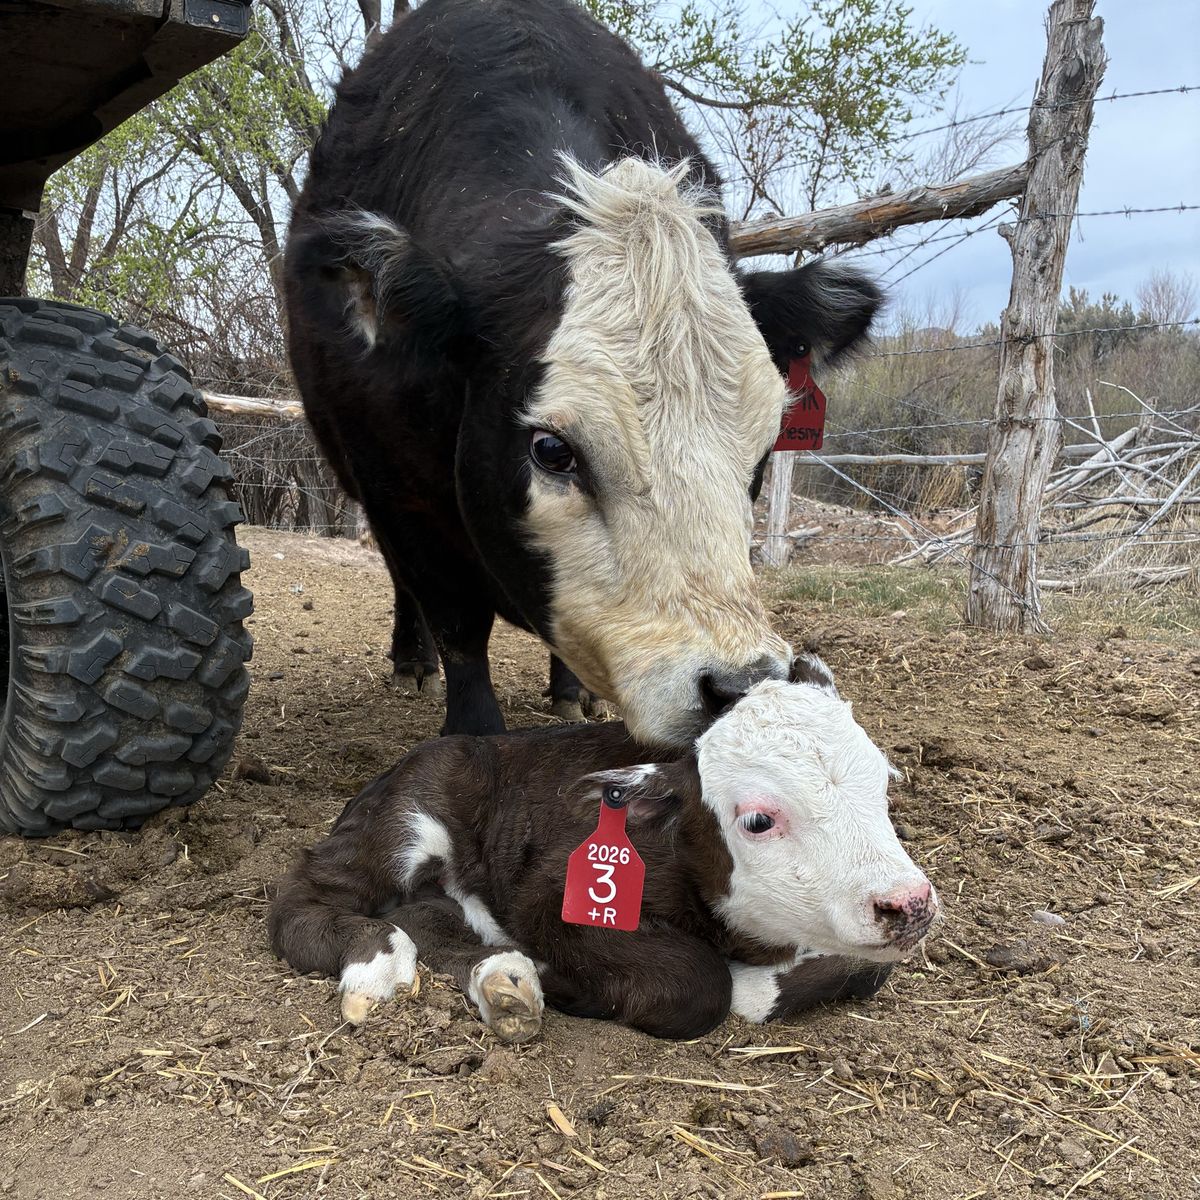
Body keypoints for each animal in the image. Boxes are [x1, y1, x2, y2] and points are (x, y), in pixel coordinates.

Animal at [269, 660, 938, 1041]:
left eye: (883, 784)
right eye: (757, 819)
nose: (908, 905)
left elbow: (860, 969)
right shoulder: (553, 895)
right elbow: (700, 985)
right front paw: (556, 973)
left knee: (425, 912)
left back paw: (498, 975)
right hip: (407, 818)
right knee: (303, 899)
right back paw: (383, 961)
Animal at [284, 0, 882, 745]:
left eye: (765, 450)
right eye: (551, 449)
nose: (737, 687)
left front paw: (570, 692)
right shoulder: (399, 492)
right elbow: (459, 629)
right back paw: (411, 661)